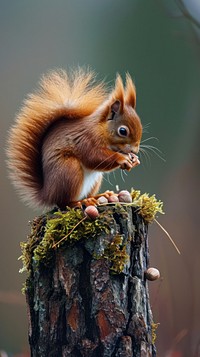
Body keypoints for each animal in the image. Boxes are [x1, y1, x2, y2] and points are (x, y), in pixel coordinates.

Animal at [7, 67, 142, 209]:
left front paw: (135, 160)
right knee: (63, 202)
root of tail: (47, 194)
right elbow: (94, 157)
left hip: (93, 179)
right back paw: (79, 202)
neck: (100, 129)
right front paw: (122, 158)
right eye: (122, 131)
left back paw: (99, 196)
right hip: (69, 170)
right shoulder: (86, 139)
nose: (135, 150)